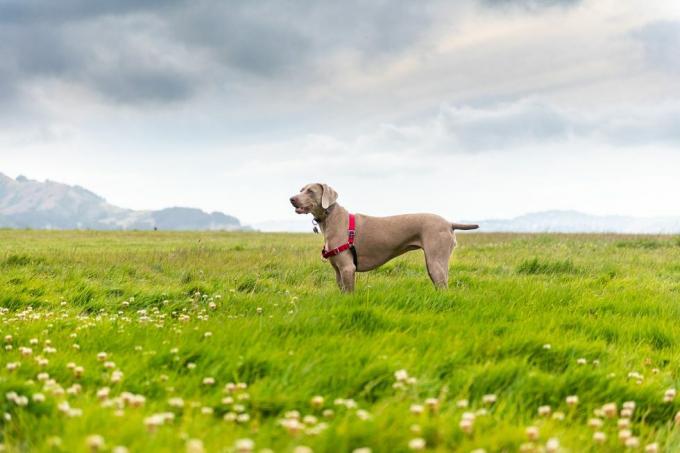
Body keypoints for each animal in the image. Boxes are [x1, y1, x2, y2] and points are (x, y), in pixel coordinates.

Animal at [288, 182, 478, 292]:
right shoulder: (337, 270)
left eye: (310, 191)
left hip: (435, 261)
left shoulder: (348, 268)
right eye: (300, 190)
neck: (329, 218)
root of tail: (449, 223)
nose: (291, 199)